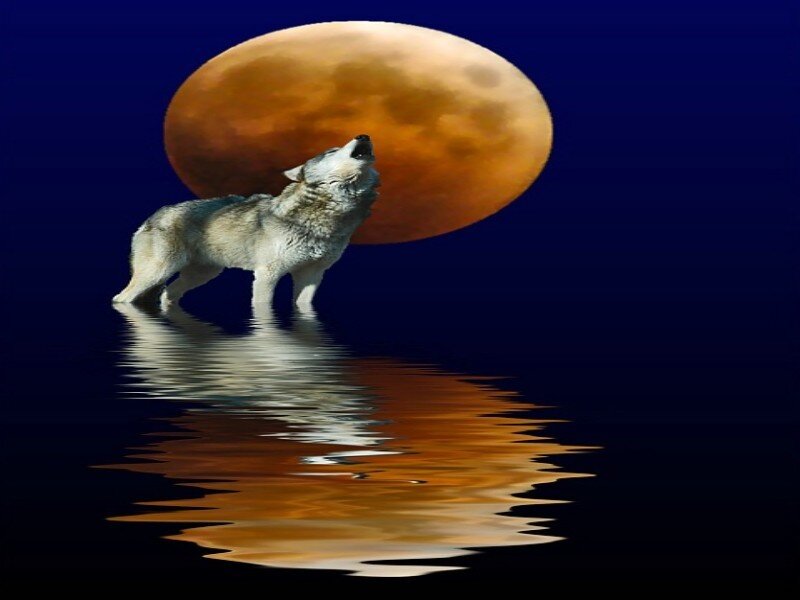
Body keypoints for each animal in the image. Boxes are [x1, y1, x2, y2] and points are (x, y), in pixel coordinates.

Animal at [112, 134, 378, 309]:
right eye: (331, 151)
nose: (364, 135)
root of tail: (155, 213)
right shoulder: (267, 273)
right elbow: (263, 307)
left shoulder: (313, 274)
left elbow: (303, 306)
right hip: (157, 272)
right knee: (122, 298)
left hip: (201, 275)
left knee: (168, 293)